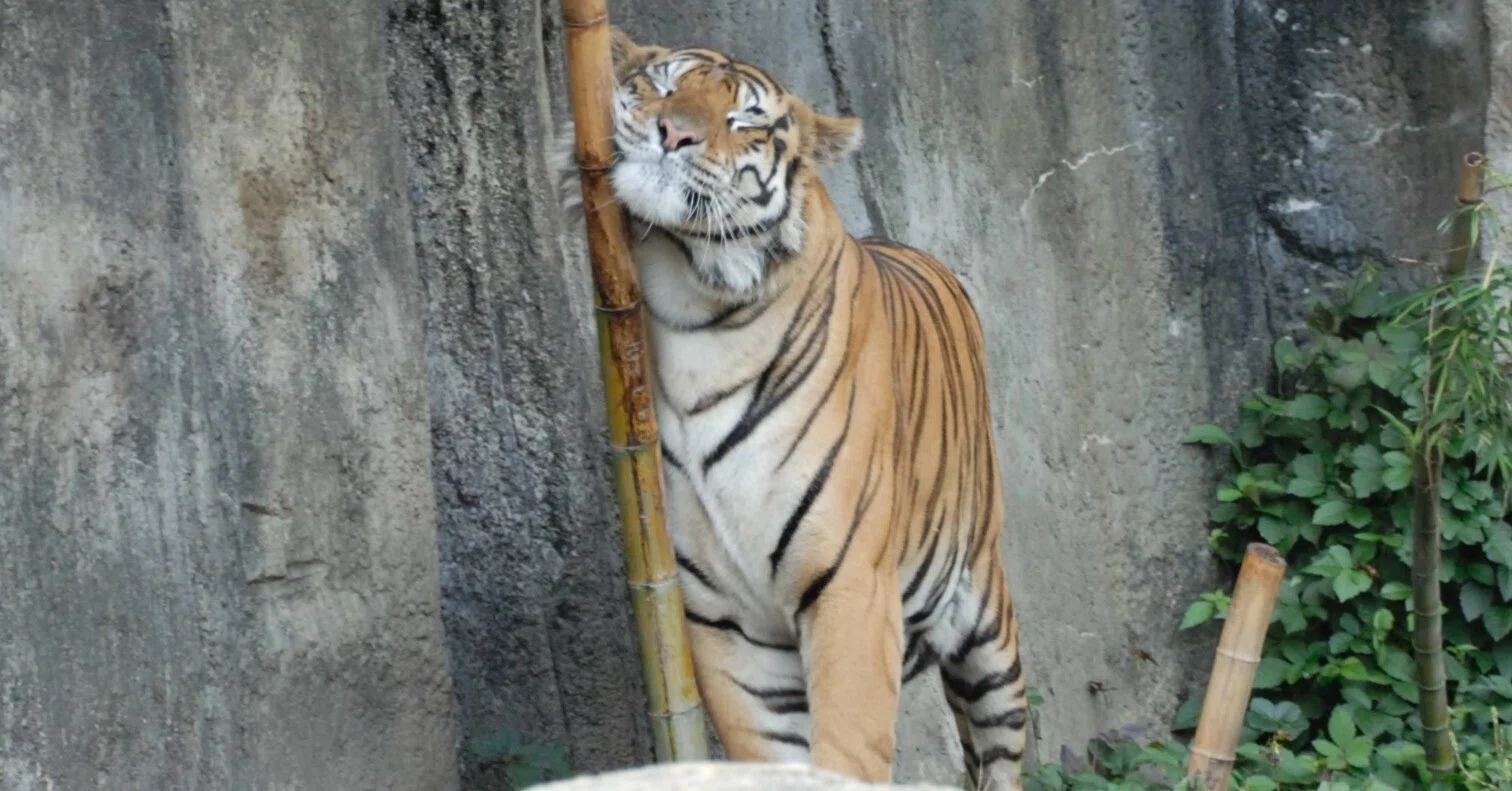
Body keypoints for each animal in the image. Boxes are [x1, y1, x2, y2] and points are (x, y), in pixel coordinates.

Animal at [554, 27, 1029, 791]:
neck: (692, 308)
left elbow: (848, 748)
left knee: (999, 746)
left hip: (987, 627)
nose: (672, 133)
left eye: (743, 118)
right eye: (662, 83)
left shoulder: (850, 589)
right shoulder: (723, 622)